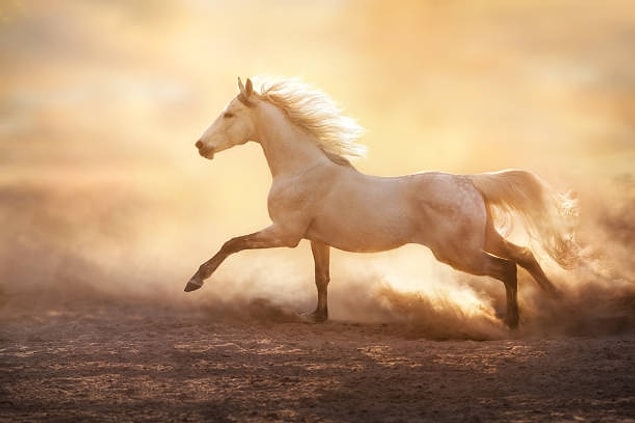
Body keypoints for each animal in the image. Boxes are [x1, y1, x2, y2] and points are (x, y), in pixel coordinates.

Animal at [186, 76, 580, 328]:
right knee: (525, 256)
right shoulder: (316, 239)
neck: (302, 169)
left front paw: (195, 282)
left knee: (507, 269)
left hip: (459, 253)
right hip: (483, 239)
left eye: (230, 114)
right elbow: (321, 277)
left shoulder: (284, 233)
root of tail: (470, 183)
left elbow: (232, 243)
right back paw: (557, 298)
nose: (201, 146)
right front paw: (317, 316)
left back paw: (513, 322)